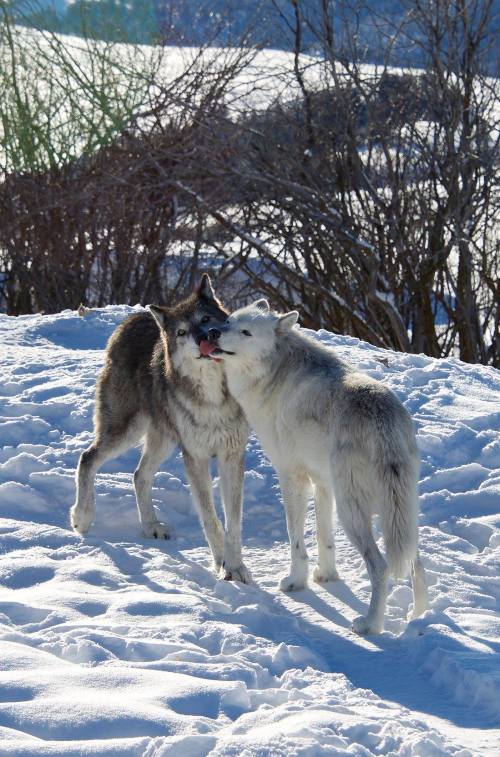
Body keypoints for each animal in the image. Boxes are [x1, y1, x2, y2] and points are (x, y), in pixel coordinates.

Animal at [70, 275, 251, 583]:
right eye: (181, 332)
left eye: (205, 319)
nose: (205, 338)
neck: (214, 397)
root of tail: (129, 321)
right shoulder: (195, 457)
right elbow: (210, 519)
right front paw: (220, 564)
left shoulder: (231, 455)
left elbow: (233, 523)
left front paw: (236, 566)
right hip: (127, 431)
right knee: (87, 458)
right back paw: (82, 518)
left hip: (163, 439)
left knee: (139, 475)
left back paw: (150, 526)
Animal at [205, 300, 429, 632]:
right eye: (229, 321)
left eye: (246, 333)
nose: (212, 332)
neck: (274, 373)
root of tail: (384, 420)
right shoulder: (323, 484)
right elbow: (325, 538)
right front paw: (325, 577)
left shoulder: (291, 477)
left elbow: (295, 538)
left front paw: (295, 583)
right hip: (401, 514)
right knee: (417, 562)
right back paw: (420, 619)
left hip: (354, 514)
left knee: (381, 567)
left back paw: (370, 625)